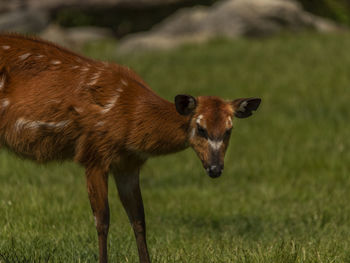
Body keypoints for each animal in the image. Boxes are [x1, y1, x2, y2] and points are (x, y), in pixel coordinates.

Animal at [0, 33, 262, 263]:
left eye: (229, 129)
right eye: (201, 128)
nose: (215, 169)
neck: (130, 119)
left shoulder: (128, 164)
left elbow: (139, 219)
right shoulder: (94, 153)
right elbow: (102, 219)